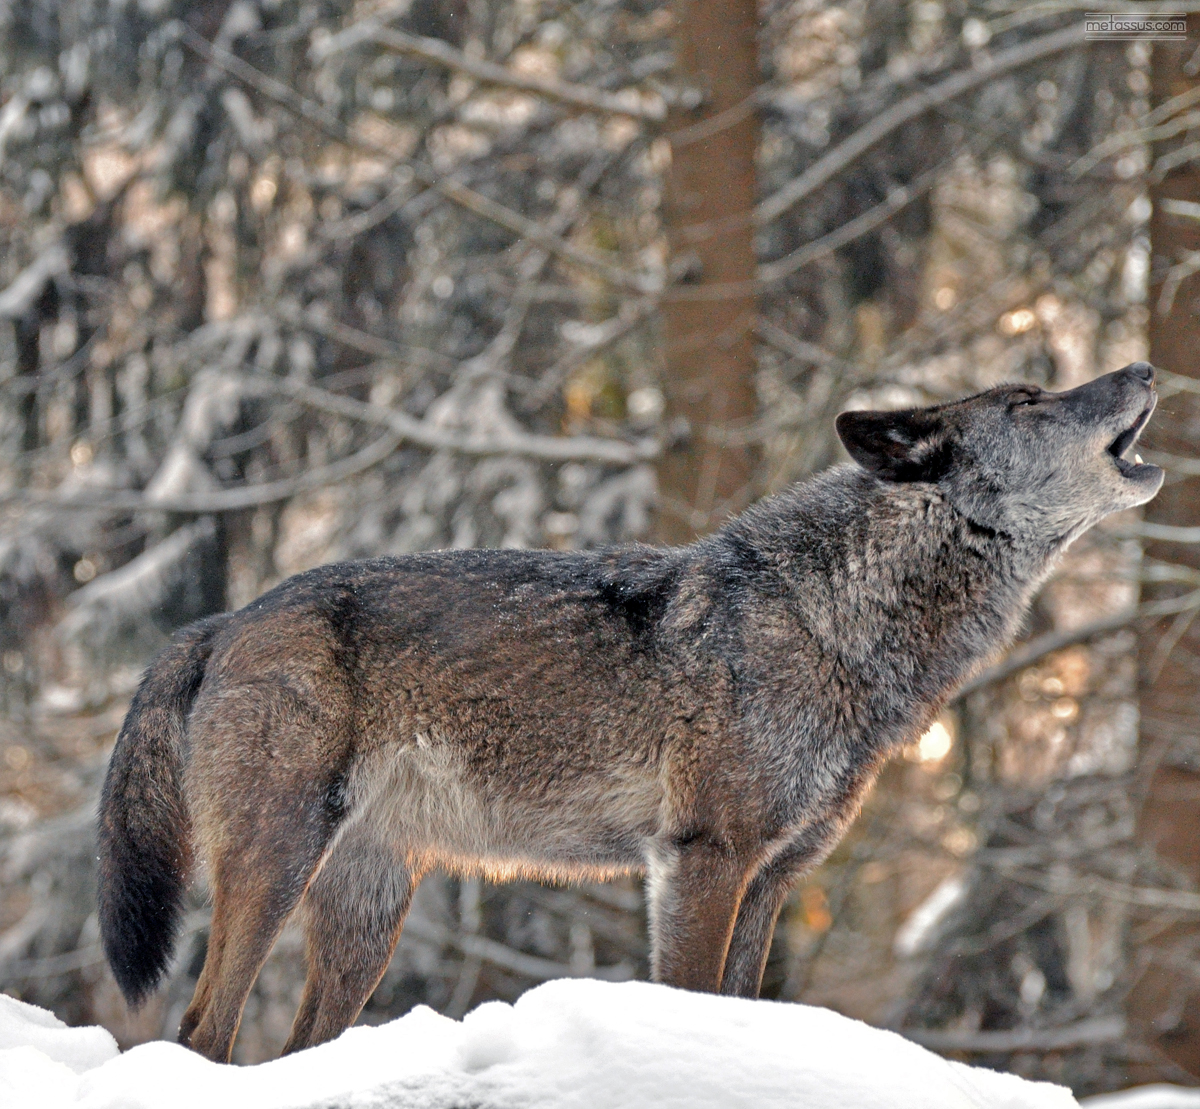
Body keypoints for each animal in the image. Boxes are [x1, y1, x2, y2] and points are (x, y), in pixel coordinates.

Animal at [98, 362, 1166, 1056]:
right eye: (1029, 399)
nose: (1146, 364)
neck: (831, 614)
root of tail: (224, 619)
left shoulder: (772, 880)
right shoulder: (704, 858)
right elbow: (691, 995)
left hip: (365, 912)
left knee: (293, 1043)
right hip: (278, 860)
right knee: (201, 1027)